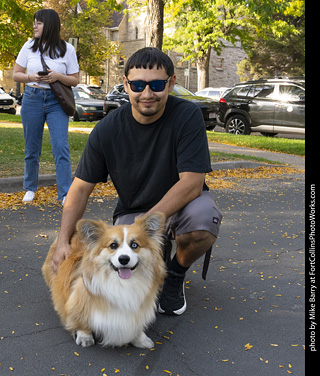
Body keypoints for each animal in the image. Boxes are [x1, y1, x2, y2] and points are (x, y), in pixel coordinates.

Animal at [42, 213, 166, 348]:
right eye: (113, 245)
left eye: (134, 245)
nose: (124, 259)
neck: (122, 283)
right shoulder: (79, 300)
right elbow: (81, 321)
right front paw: (85, 336)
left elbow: (135, 324)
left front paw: (140, 338)